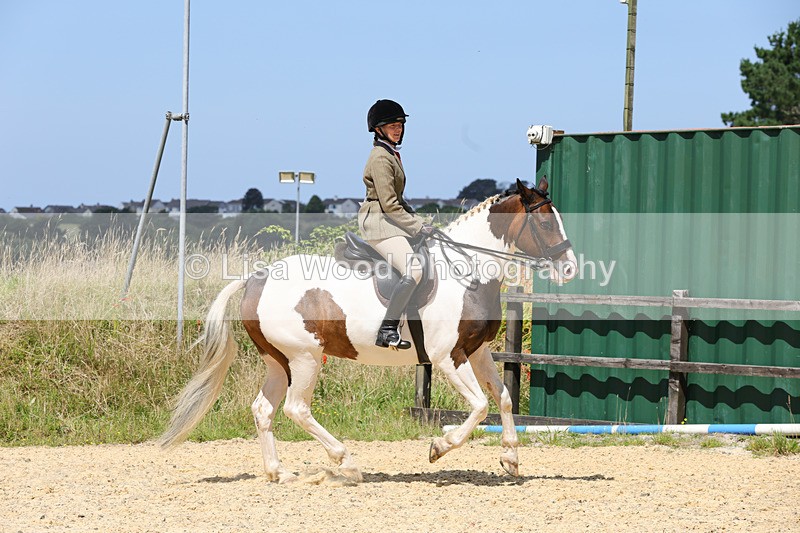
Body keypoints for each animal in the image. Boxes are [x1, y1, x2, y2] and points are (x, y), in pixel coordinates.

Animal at [159, 177, 577, 483]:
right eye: (545, 222)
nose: (571, 268)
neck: (467, 270)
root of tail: (255, 278)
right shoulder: (447, 356)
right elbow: (479, 406)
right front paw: (439, 447)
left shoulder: (475, 351)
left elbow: (503, 399)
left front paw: (510, 458)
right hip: (305, 357)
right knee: (296, 408)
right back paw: (345, 462)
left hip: (279, 360)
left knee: (264, 409)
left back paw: (280, 473)